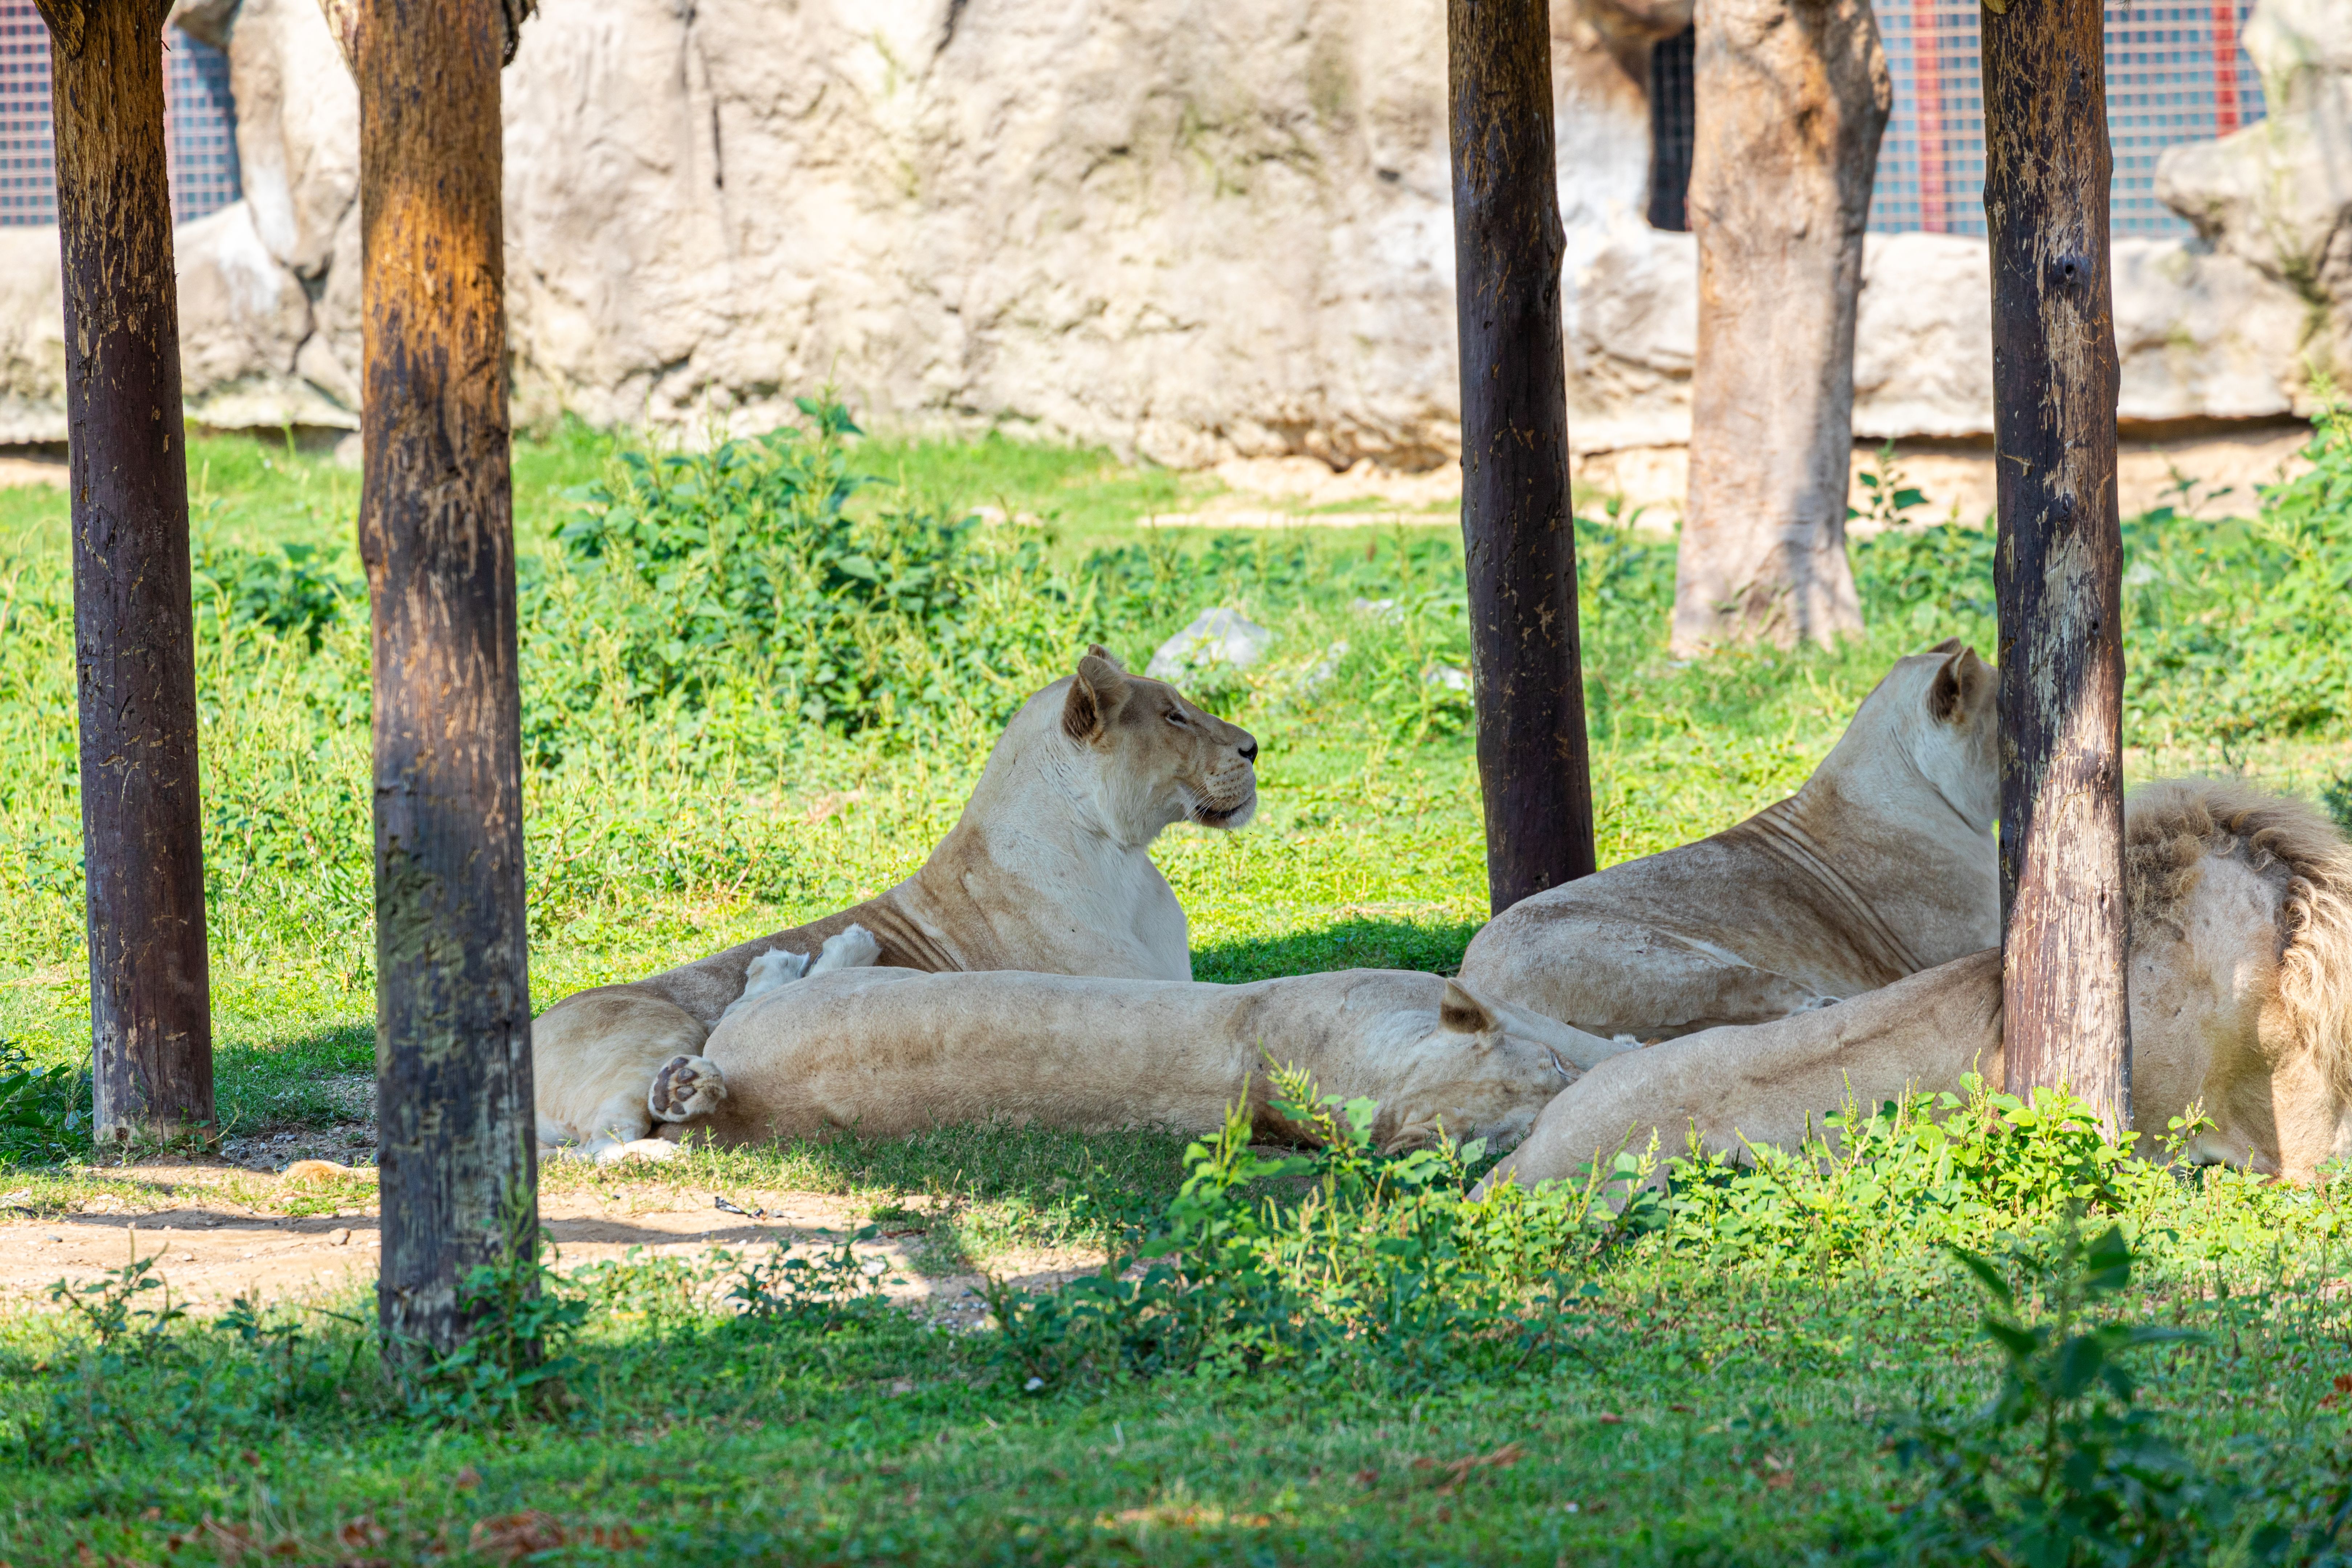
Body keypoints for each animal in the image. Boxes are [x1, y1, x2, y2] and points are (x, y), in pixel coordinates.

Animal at [533, 645, 1258, 1158]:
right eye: (1173, 715)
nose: (1255, 747)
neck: (1123, 860)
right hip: (664, 1028)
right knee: (612, 1140)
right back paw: (687, 1093)